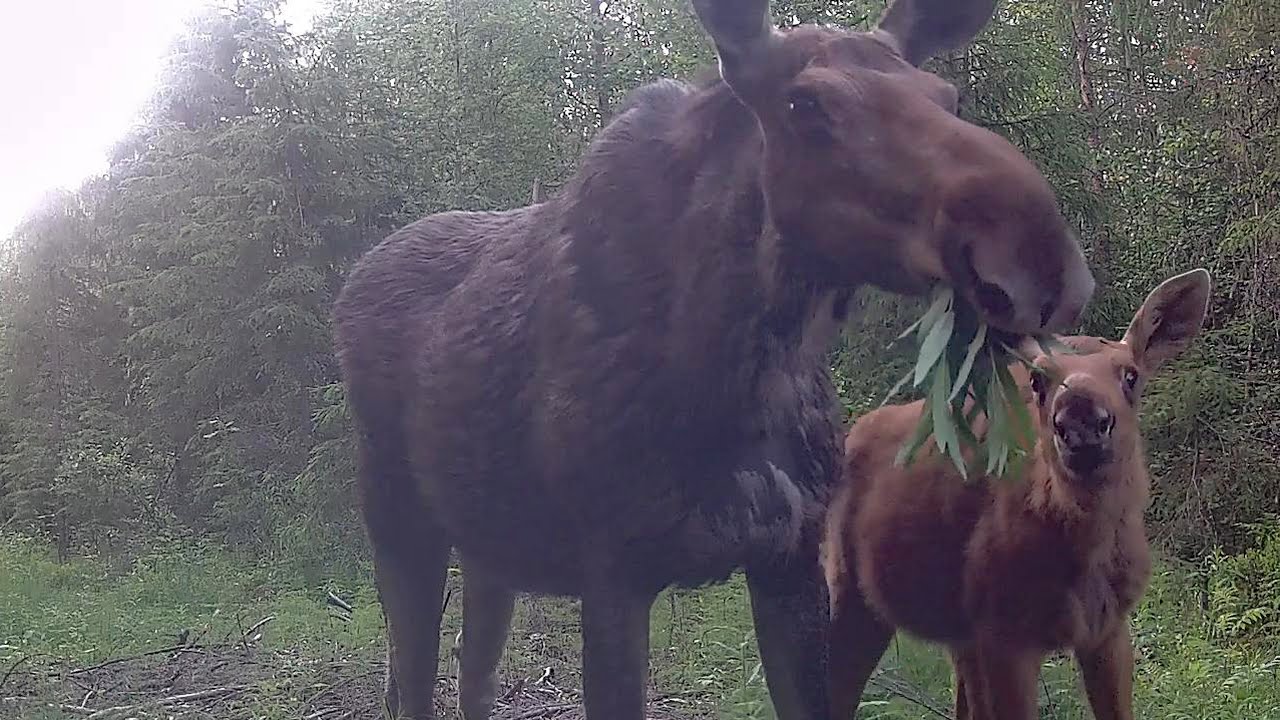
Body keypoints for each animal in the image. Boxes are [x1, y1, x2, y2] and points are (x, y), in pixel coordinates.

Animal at [331, 0, 1097, 718]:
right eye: (804, 104)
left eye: (947, 96)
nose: (1038, 259)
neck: (738, 378)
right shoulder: (613, 569)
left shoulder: (793, 556)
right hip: (395, 518)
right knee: (410, 681)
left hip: (489, 543)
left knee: (473, 672)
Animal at [823, 269, 1212, 720]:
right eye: (1037, 379)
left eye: (1130, 375)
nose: (1080, 416)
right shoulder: (1004, 631)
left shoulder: (1108, 627)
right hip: (850, 590)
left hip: (958, 632)